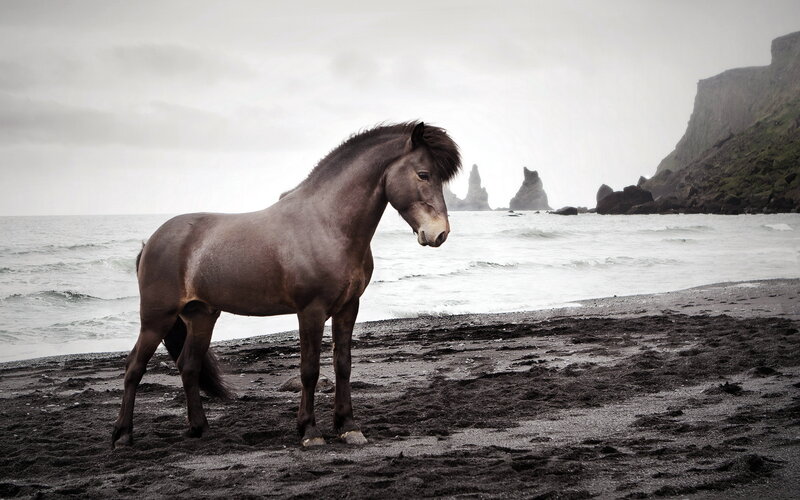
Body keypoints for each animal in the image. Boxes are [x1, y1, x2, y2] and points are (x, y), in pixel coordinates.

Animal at [112, 122, 461, 448]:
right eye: (423, 174)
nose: (439, 233)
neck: (327, 225)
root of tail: (152, 240)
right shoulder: (311, 311)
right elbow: (310, 370)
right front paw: (310, 432)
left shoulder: (348, 307)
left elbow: (343, 365)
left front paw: (348, 427)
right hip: (157, 318)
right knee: (134, 367)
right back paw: (122, 435)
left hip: (201, 316)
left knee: (189, 366)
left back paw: (200, 428)